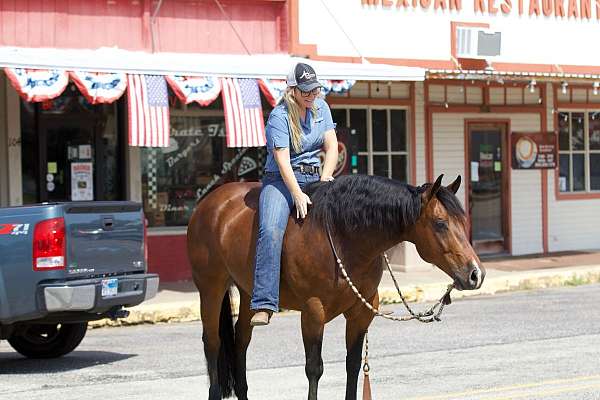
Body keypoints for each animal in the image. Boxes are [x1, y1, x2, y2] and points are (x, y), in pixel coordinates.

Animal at [190, 175, 486, 400]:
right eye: (440, 223)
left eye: (463, 222)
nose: (476, 274)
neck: (343, 237)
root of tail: (211, 203)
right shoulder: (313, 312)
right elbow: (314, 368)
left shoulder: (362, 312)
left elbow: (352, 365)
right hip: (211, 288)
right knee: (212, 343)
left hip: (248, 291)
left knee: (241, 341)